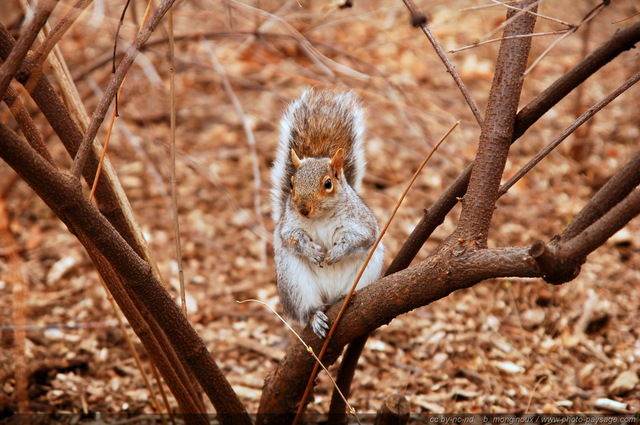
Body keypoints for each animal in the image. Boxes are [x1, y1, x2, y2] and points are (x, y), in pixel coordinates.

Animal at [270, 88, 384, 338]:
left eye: (328, 184)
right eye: (291, 183)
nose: (303, 209)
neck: (319, 217)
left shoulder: (361, 222)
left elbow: (362, 238)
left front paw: (337, 252)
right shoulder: (289, 224)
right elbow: (289, 237)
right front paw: (310, 250)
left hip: (367, 273)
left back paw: (346, 297)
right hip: (295, 283)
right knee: (306, 309)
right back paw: (316, 317)